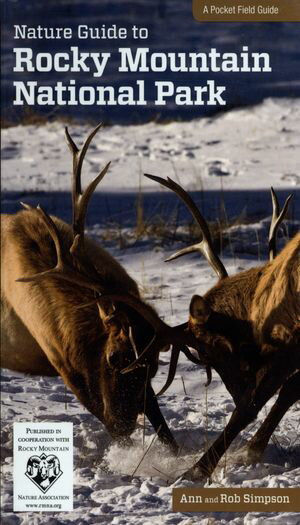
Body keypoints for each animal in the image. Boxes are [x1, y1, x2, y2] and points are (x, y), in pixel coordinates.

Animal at [123, 174, 298, 482]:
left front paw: (198, 469)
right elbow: (283, 393)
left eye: (208, 350)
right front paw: (249, 450)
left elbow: (256, 403)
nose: (236, 392)